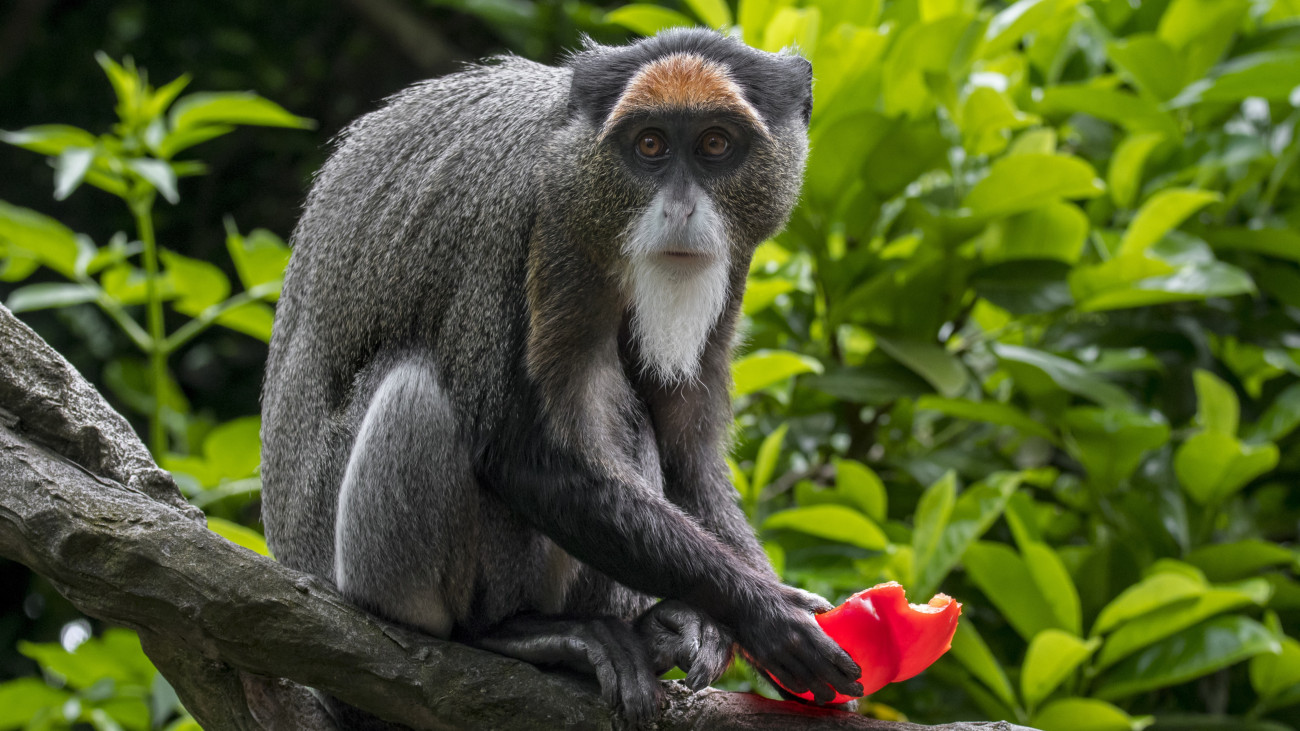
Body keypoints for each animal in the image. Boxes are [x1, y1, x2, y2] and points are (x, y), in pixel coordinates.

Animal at [261, 26, 863, 723]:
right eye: (650, 145)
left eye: (715, 144)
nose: (681, 210)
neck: (576, 166)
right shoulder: (535, 226)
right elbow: (525, 456)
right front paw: (766, 616)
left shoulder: (733, 262)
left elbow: (685, 452)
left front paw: (732, 622)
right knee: (421, 393)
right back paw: (512, 634)